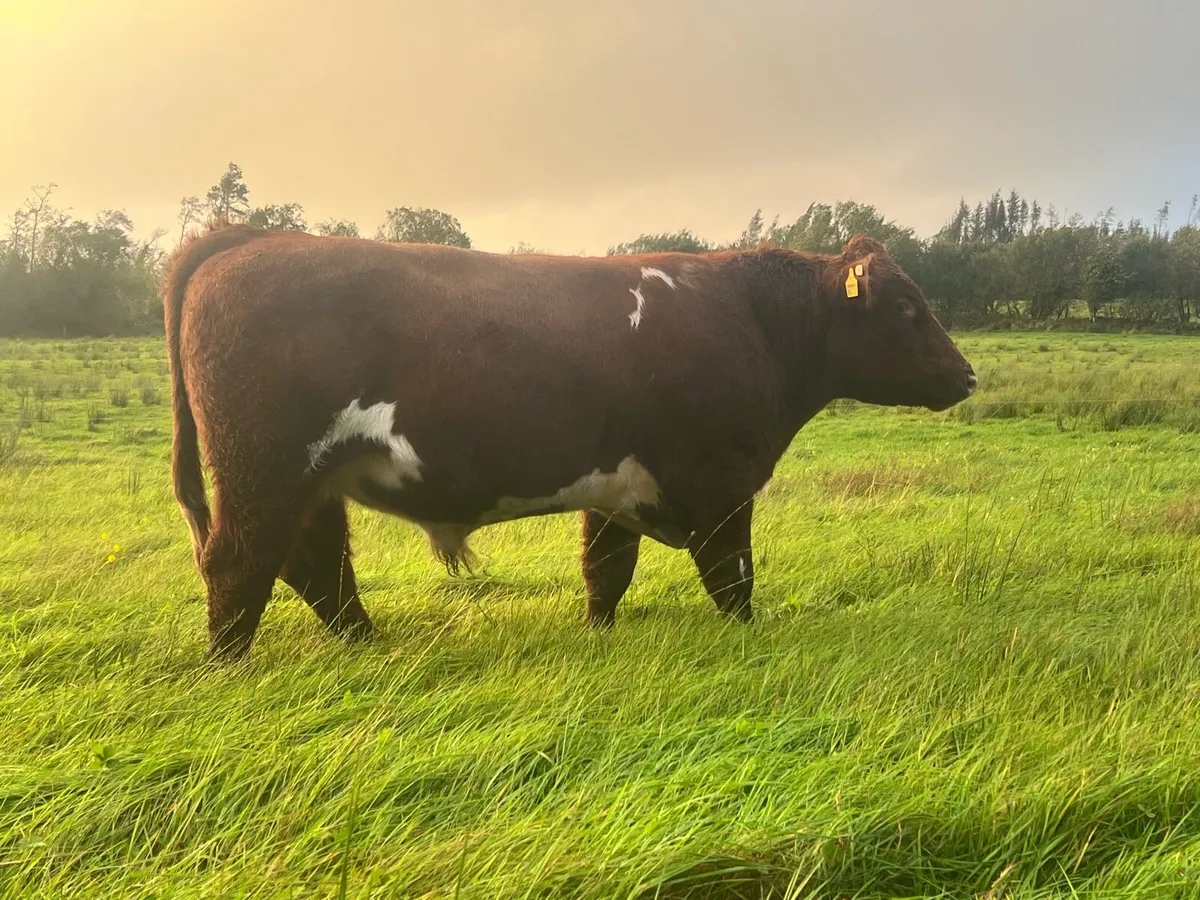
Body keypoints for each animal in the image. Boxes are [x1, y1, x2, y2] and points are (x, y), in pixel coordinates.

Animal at [162, 224, 976, 660]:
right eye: (907, 307)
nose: (967, 375)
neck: (751, 318)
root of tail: (254, 237)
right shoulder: (720, 480)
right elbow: (733, 577)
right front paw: (748, 639)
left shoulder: (618, 485)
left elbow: (605, 572)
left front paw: (598, 637)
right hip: (263, 467)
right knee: (240, 563)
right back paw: (230, 667)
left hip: (311, 479)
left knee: (316, 565)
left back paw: (368, 646)